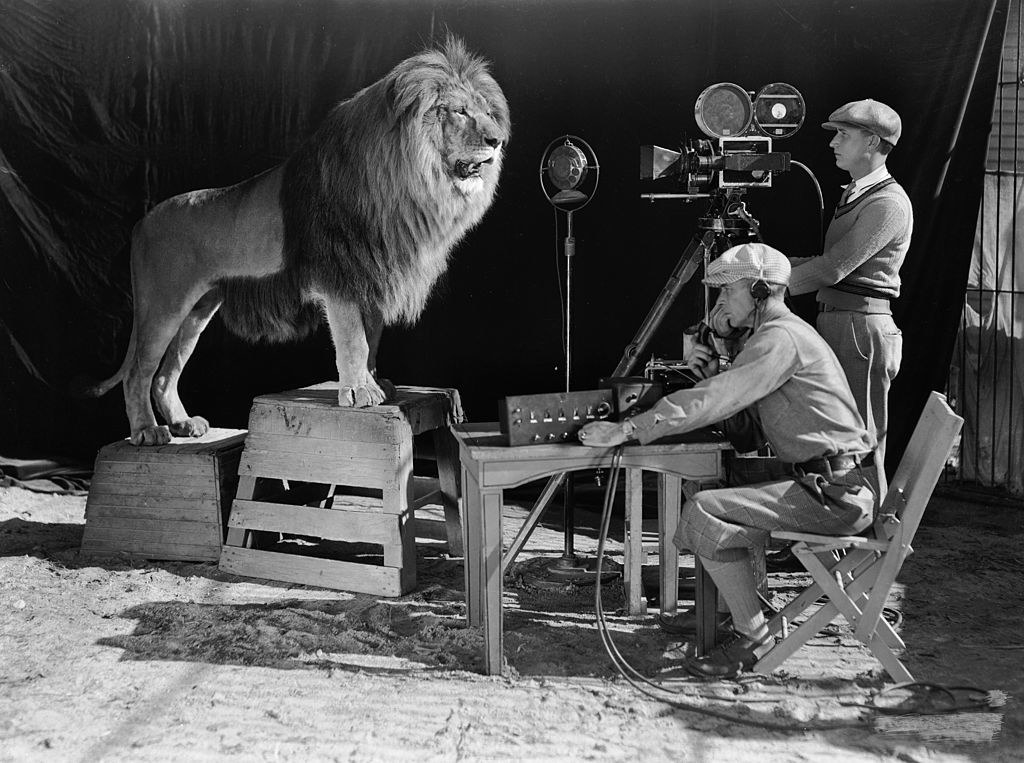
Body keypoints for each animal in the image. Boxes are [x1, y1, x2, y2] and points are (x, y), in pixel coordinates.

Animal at [86, 38, 509, 446]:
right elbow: (354, 339)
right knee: (139, 372)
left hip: (197, 311)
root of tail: (141, 222)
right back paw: (147, 432)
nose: (498, 139)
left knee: (164, 375)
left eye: (488, 112)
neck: (400, 181)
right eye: (458, 111)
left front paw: (375, 382)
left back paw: (183, 424)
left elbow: (372, 338)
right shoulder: (338, 275)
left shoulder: (371, 274)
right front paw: (359, 392)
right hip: (163, 306)